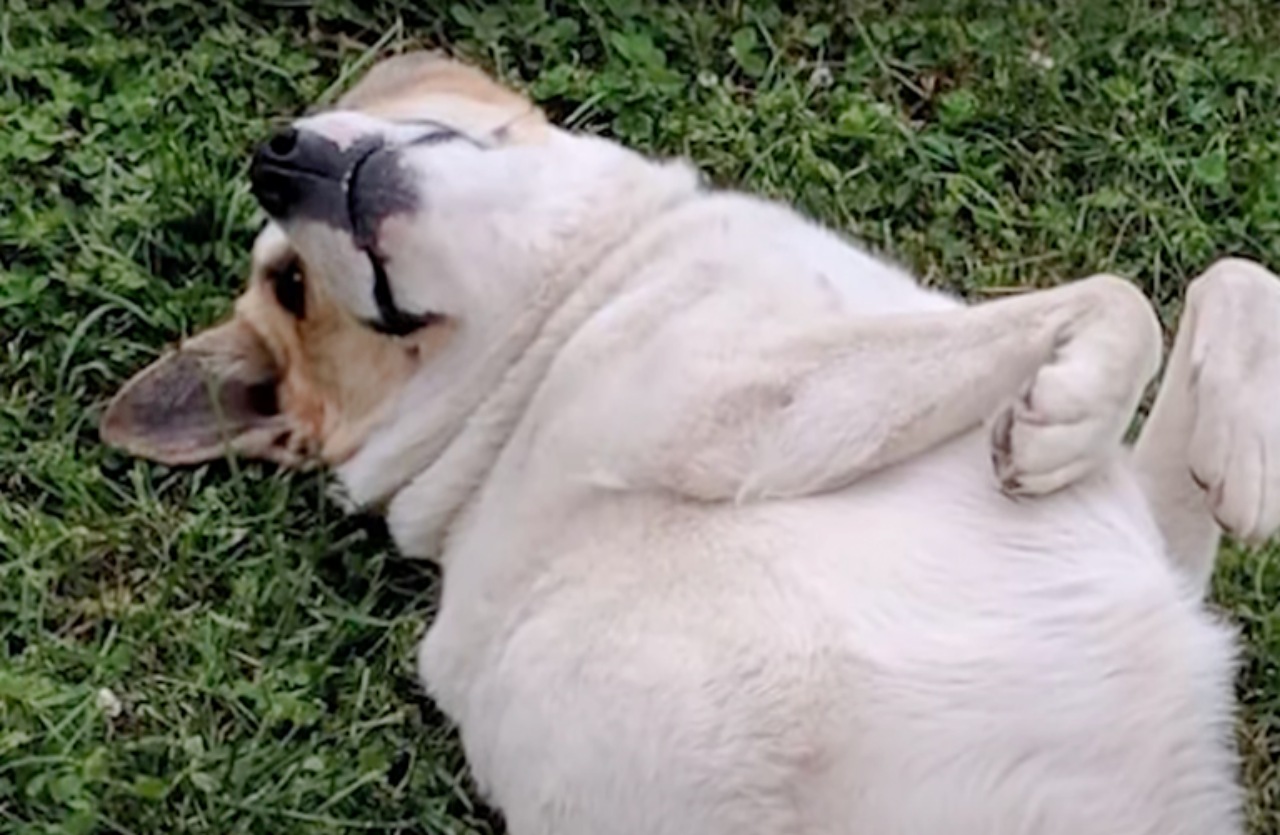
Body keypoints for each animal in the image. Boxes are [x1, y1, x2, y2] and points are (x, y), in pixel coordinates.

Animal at [102, 53, 1280, 835]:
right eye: (293, 289)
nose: (270, 156)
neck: (560, 308)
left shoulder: (1144, 538)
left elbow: (1230, 278)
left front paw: (1244, 460)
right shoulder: (730, 408)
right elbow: (1118, 295)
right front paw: (1068, 409)